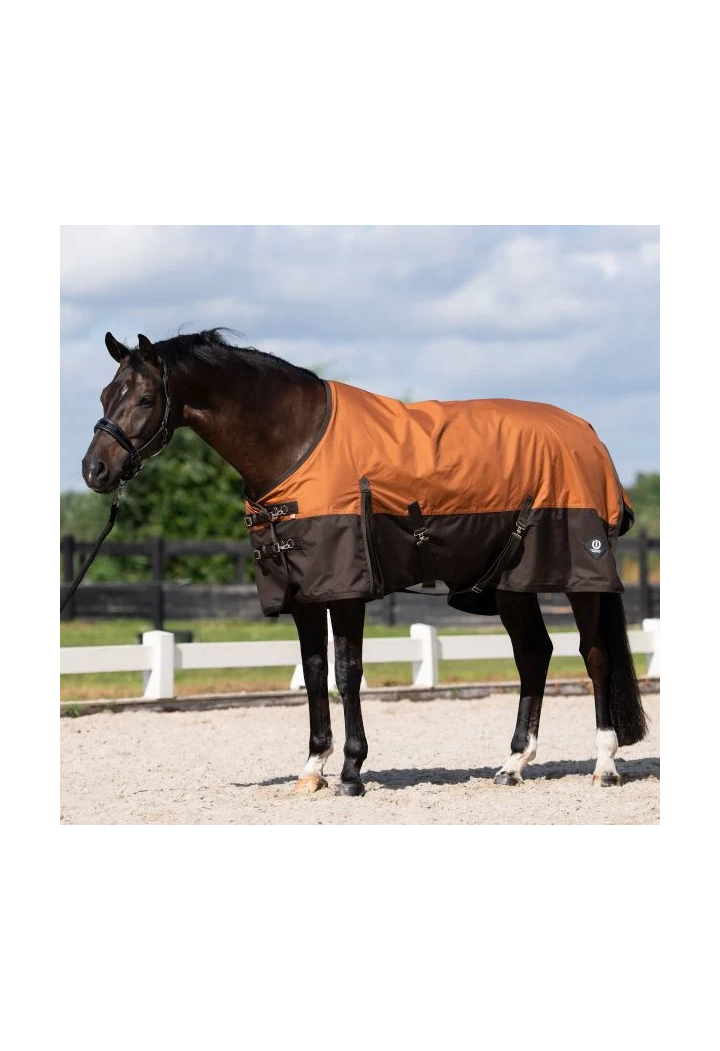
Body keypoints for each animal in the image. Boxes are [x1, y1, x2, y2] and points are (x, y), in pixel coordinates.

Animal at [81, 329, 648, 796]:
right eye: (106, 395)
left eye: (146, 397)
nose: (94, 470)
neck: (296, 443)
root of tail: (588, 435)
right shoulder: (304, 593)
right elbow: (313, 671)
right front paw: (312, 769)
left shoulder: (346, 586)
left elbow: (346, 671)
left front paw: (351, 772)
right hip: (512, 582)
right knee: (534, 654)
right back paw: (512, 765)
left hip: (580, 576)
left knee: (595, 655)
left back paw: (605, 766)